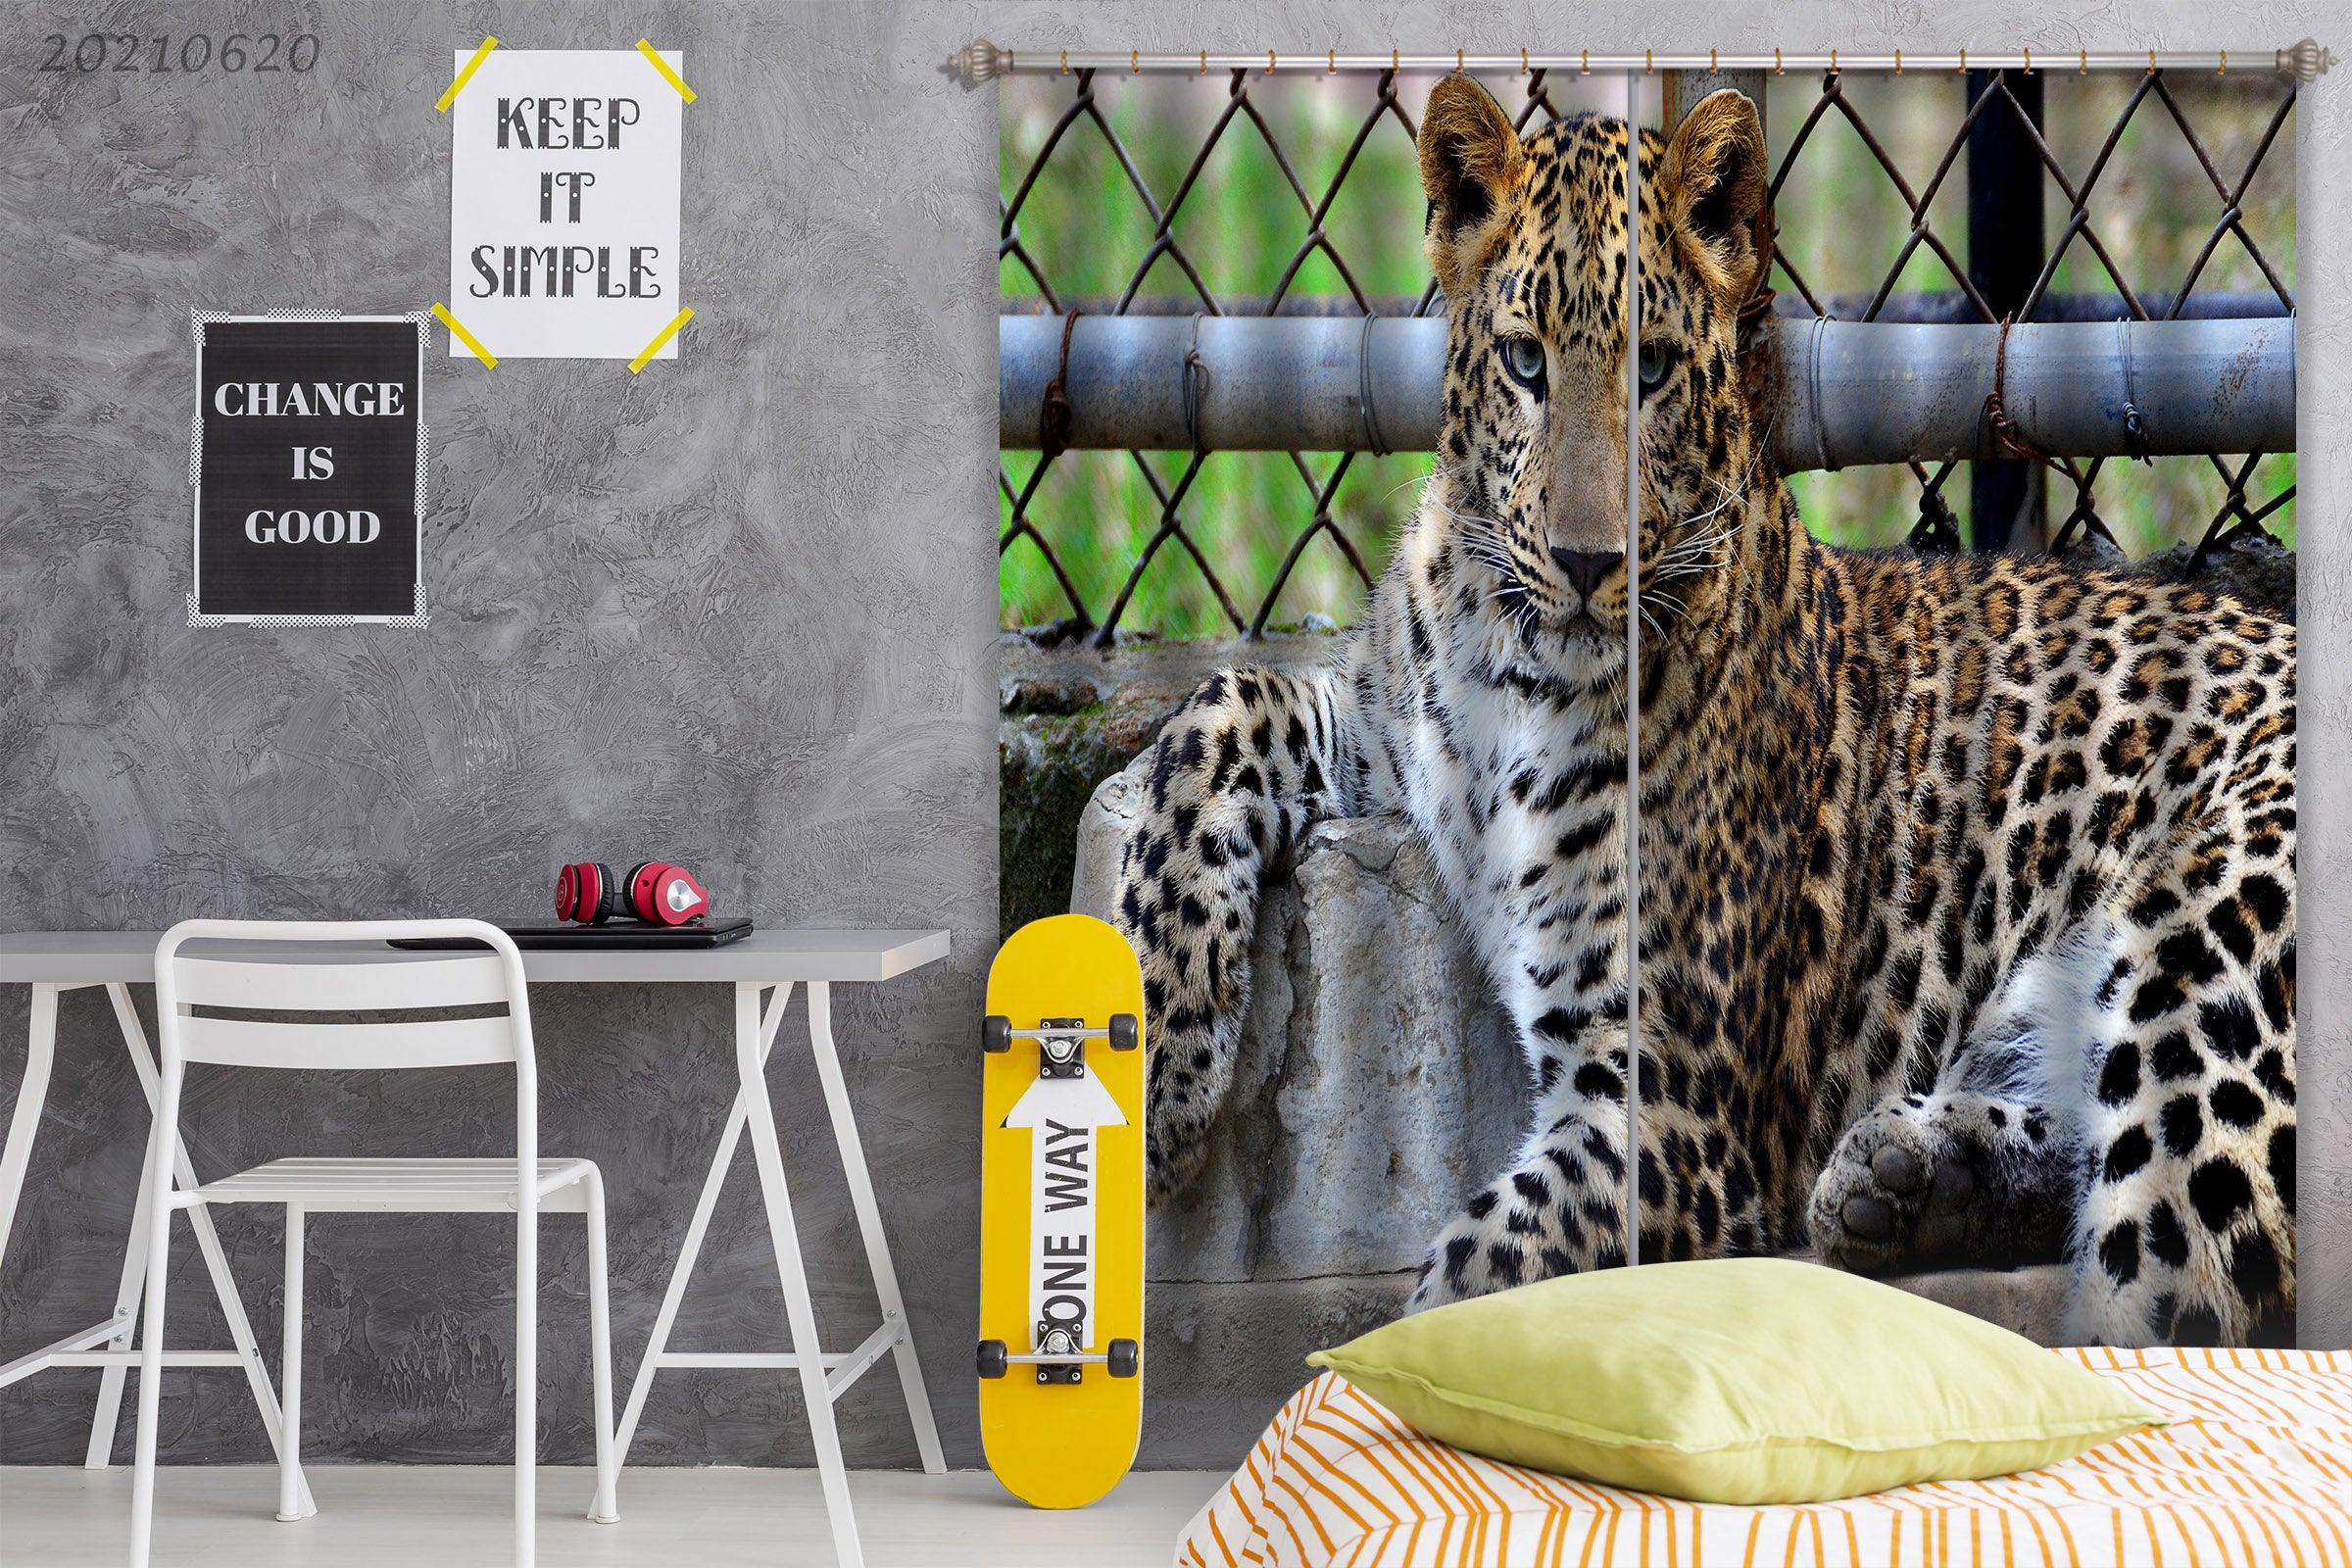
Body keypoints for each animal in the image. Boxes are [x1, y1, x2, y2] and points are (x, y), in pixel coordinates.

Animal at [1111, 76, 2296, 1346]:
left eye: (1655, 369)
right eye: (1525, 361)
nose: (1587, 562)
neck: (1513, 663)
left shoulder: (1669, 1113)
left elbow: (1476, 1281)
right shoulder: (1384, 723)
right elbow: (1219, 706)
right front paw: (1160, 1059)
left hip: (2200, 961)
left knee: (2177, 1281)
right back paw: (1908, 1178)